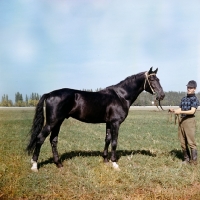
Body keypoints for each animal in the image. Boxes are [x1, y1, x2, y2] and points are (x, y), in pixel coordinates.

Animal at [26, 67, 164, 170]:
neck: (121, 96)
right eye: (151, 79)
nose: (162, 95)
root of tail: (49, 94)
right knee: (40, 138)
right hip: (52, 122)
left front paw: (106, 160)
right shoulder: (115, 123)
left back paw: (58, 164)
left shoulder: (109, 123)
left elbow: (107, 139)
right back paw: (34, 165)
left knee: (53, 140)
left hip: (58, 122)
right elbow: (114, 142)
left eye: (158, 79)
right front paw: (114, 163)